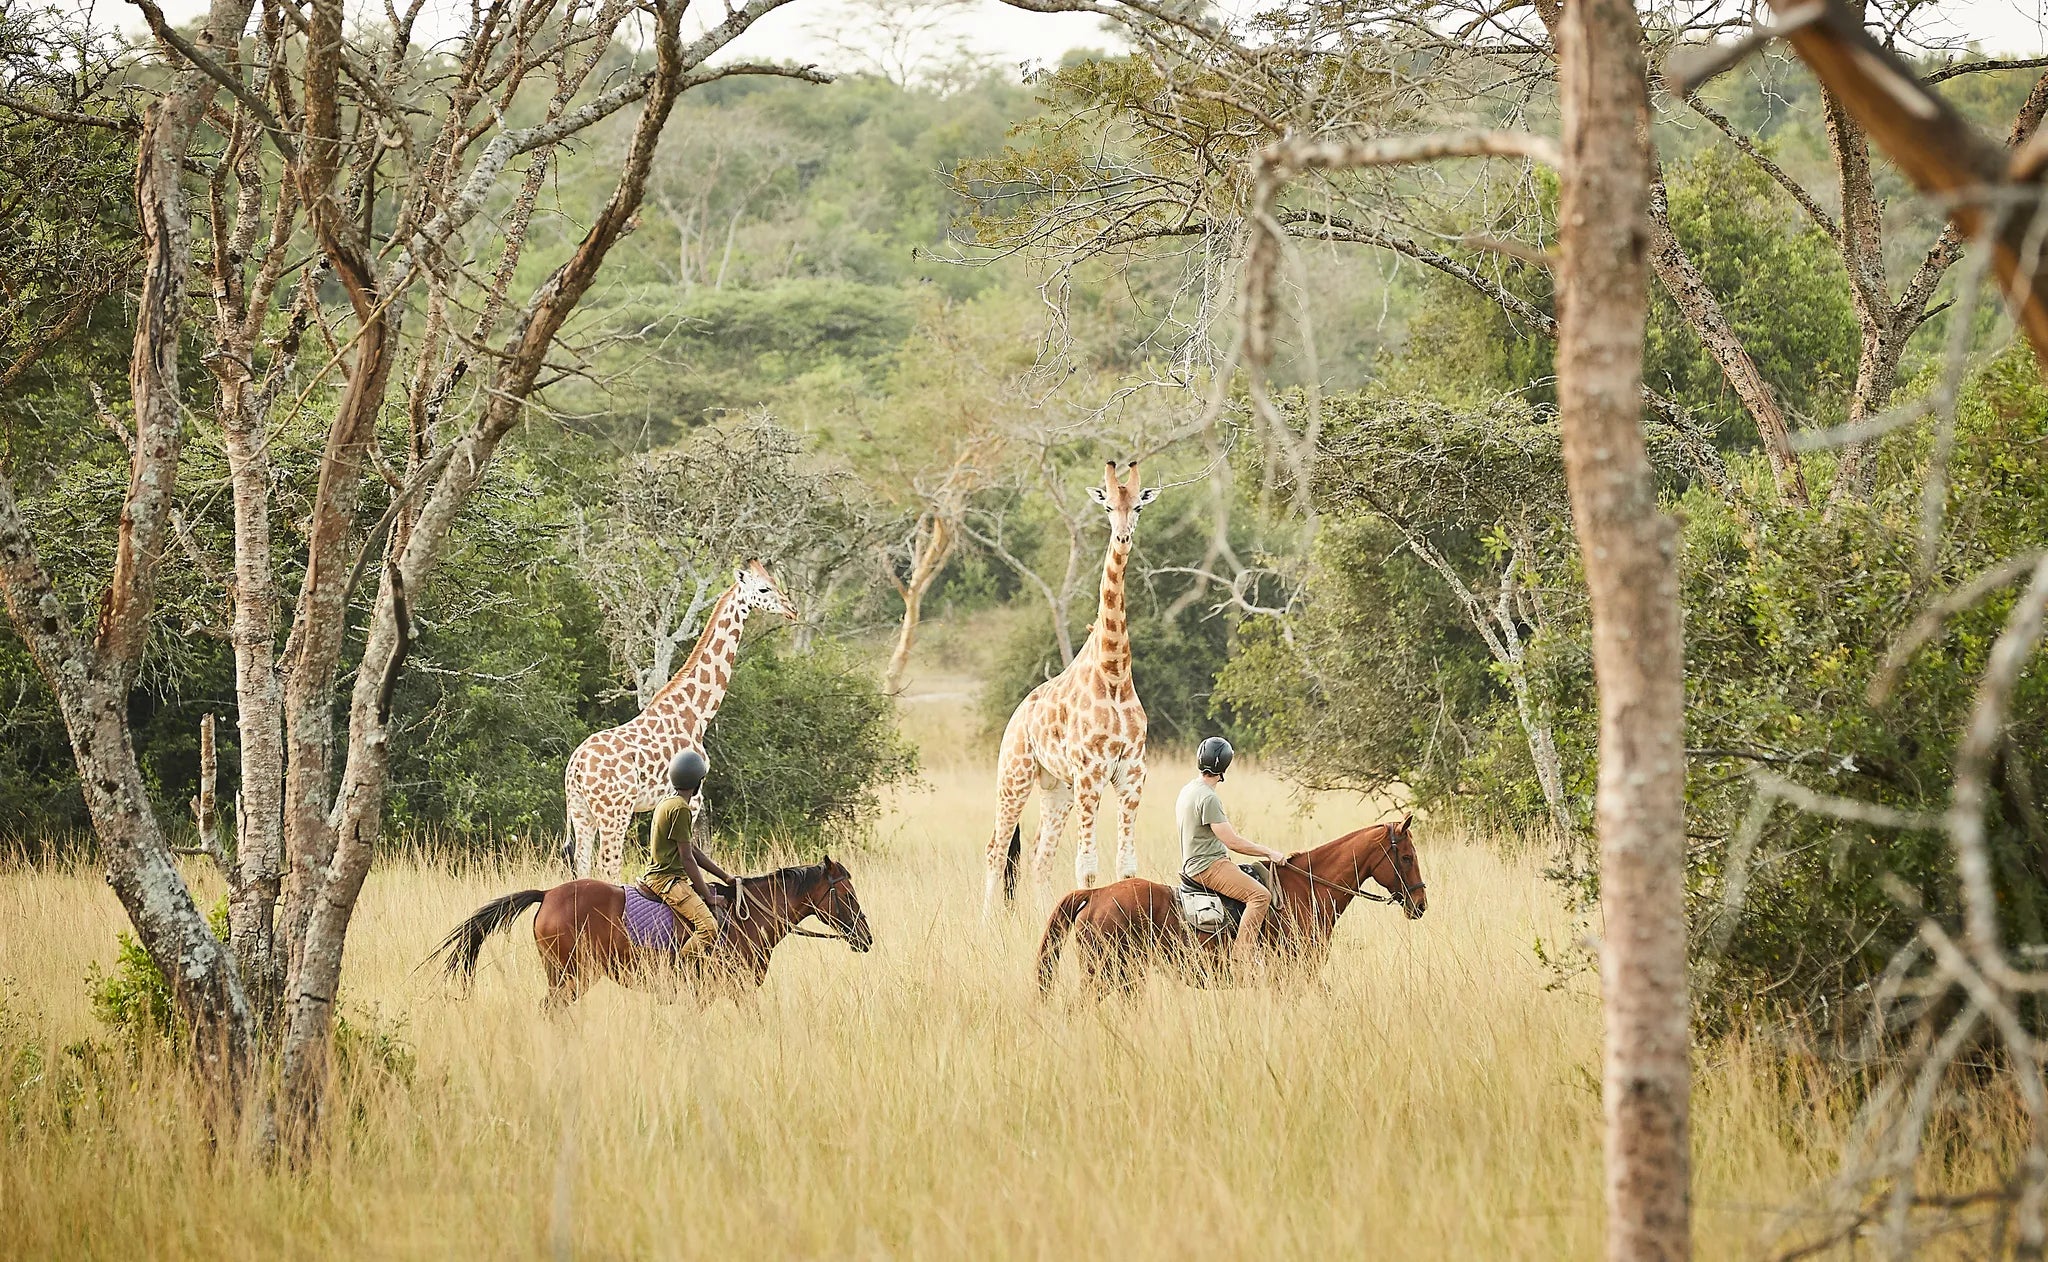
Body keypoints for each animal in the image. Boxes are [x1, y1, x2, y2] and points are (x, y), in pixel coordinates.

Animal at [431, 855, 874, 1006]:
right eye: (846, 894)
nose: (866, 938)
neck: (749, 918)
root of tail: (548, 894)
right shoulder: (727, 989)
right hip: (572, 976)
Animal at [1035, 816, 1426, 998]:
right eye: (1406, 857)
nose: (1421, 904)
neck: (1308, 889)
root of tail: (1098, 894)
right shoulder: (1296, 977)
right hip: (1108, 976)